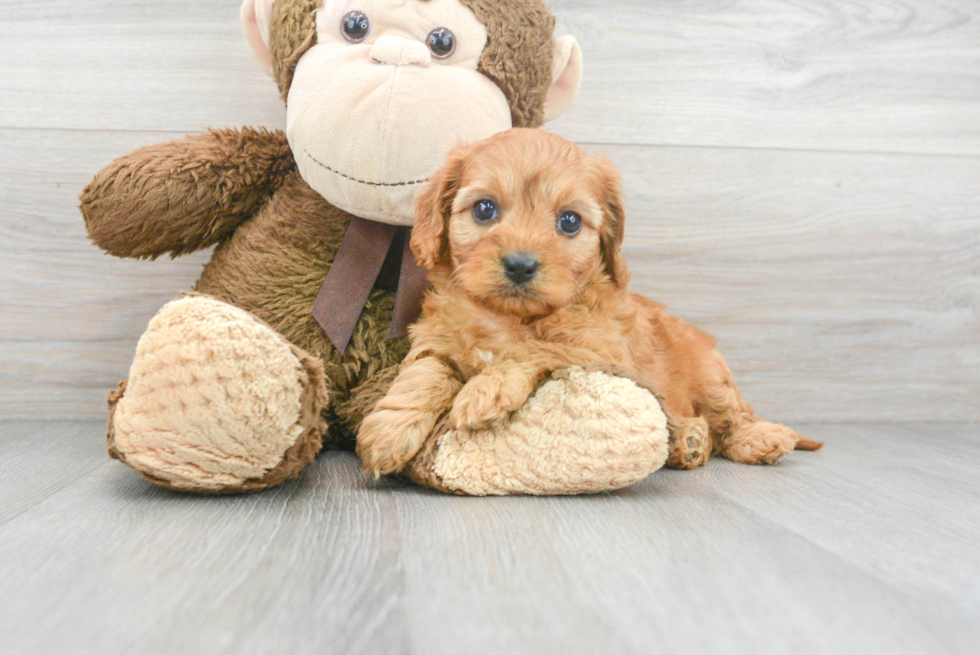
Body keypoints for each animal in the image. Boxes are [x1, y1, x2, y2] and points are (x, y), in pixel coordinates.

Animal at [356, 128, 824, 476]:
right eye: (484, 209)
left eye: (569, 221)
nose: (521, 265)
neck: (511, 318)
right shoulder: (436, 340)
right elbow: (424, 374)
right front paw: (390, 428)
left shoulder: (600, 351)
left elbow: (535, 348)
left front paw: (487, 387)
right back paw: (687, 443)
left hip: (711, 375)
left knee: (731, 416)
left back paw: (755, 438)